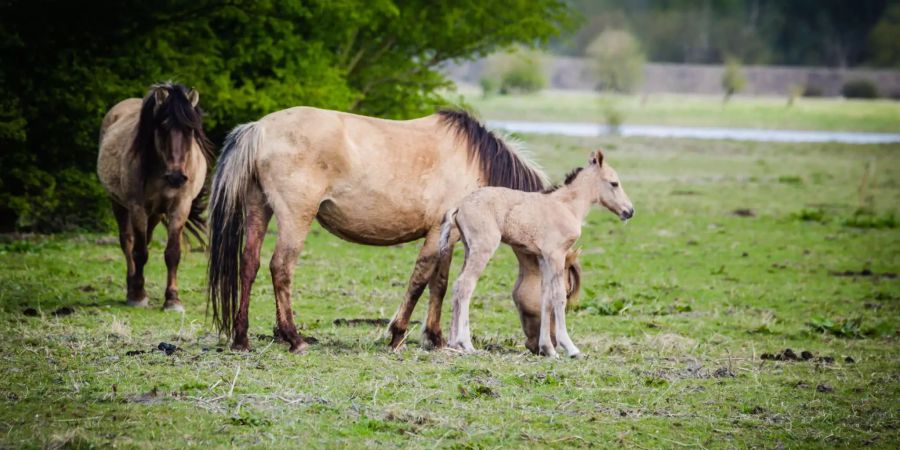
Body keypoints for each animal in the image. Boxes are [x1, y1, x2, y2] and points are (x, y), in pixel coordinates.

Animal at [97, 82, 214, 312]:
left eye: (190, 129)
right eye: (163, 127)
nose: (177, 177)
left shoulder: (180, 206)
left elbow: (172, 253)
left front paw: (173, 300)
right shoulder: (137, 208)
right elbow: (139, 252)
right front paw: (138, 296)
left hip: (157, 214)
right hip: (118, 204)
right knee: (128, 242)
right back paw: (131, 287)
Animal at [442, 151, 632, 358]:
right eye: (614, 183)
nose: (629, 211)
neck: (567, 206)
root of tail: (459, 206)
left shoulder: (543, 258)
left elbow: (546, 297)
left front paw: (548, 349)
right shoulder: (556, 255)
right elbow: (558, 296)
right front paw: (570, 347)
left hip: (469, 249)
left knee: (457, 285)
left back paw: (453, 343)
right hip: (483, 247)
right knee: (465, 285)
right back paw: (466, 343)